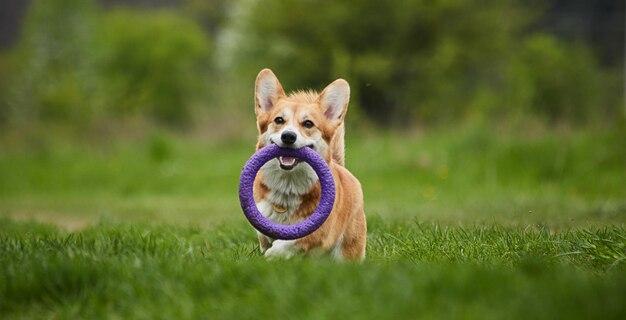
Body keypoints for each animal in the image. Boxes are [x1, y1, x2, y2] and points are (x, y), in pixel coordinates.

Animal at [250, 68, 366, 260]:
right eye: (279, 120)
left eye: (308, 123)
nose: (288, 136)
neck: (288, 185)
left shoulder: (322, 230)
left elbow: (296, 239)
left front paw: (275, 254)